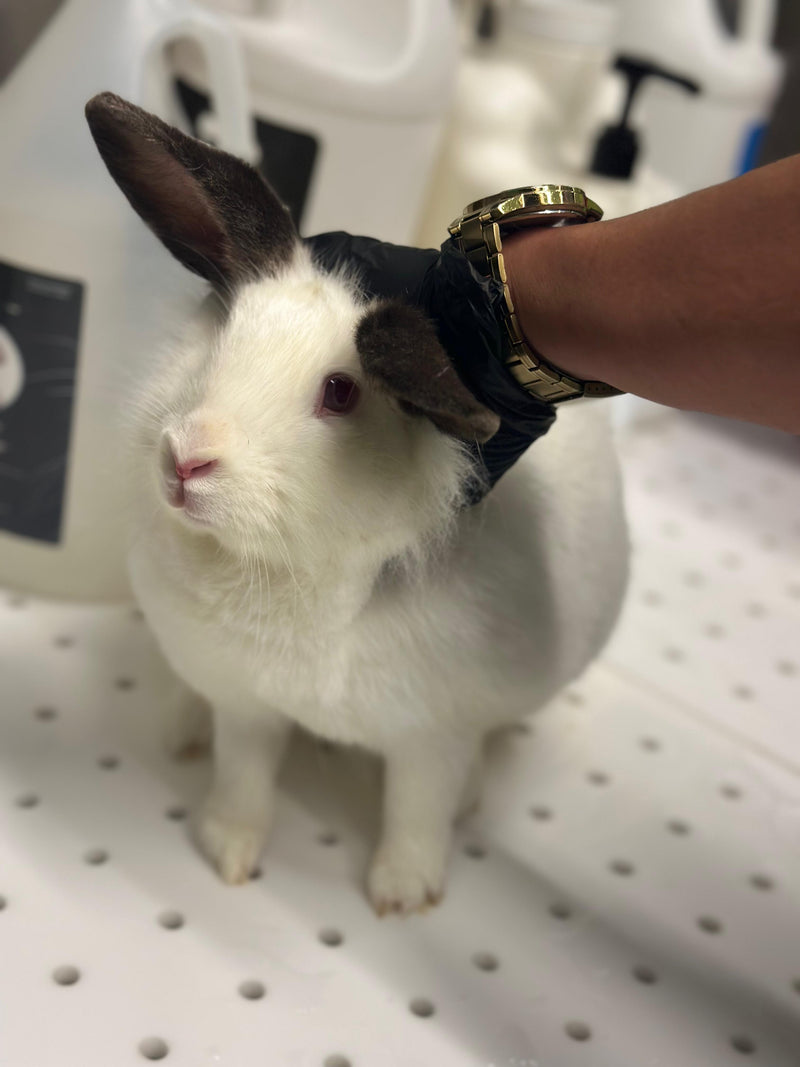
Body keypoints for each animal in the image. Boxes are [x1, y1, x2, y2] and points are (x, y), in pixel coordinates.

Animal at [85, 92, 629, 916]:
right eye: (220, 342)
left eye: (340, 393)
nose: (186, 460)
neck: (286, 576)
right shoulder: (245, 705)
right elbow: (243, 776)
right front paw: (228, 854)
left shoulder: (432, 737)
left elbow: (417, 810)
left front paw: (402, 897)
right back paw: (180, 728)